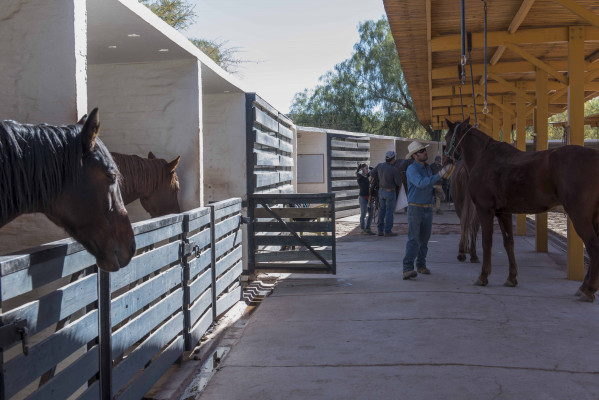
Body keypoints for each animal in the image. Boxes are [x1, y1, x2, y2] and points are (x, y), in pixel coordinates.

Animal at [442, 117, 599, 302]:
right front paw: (511, 278)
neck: (484, 157)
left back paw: (588, 290)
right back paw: (585, 287)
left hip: (580, 217)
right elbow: (508, 242)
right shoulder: (503, 212)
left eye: (446, 138)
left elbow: (486, 241)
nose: (445, 161)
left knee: (593, 247)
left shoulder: (484, 209)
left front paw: (483, 276)